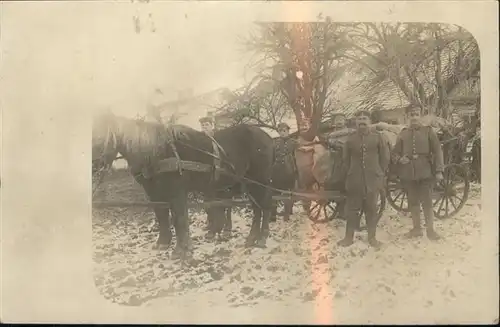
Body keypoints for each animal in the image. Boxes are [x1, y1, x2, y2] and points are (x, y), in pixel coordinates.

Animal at [92, 111, 276, 260]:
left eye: (100, 136)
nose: (93, 168)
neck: (157, 152)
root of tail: (266, 136)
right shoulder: (154, 193)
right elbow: (161, 216)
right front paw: (163, 243)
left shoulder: (177, 192)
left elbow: (179, 219)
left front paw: (183, 250)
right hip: (248, 183)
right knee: (257, 209)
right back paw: (251, 238)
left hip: (260, 181)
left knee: (265, 206)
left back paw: (261, 238)